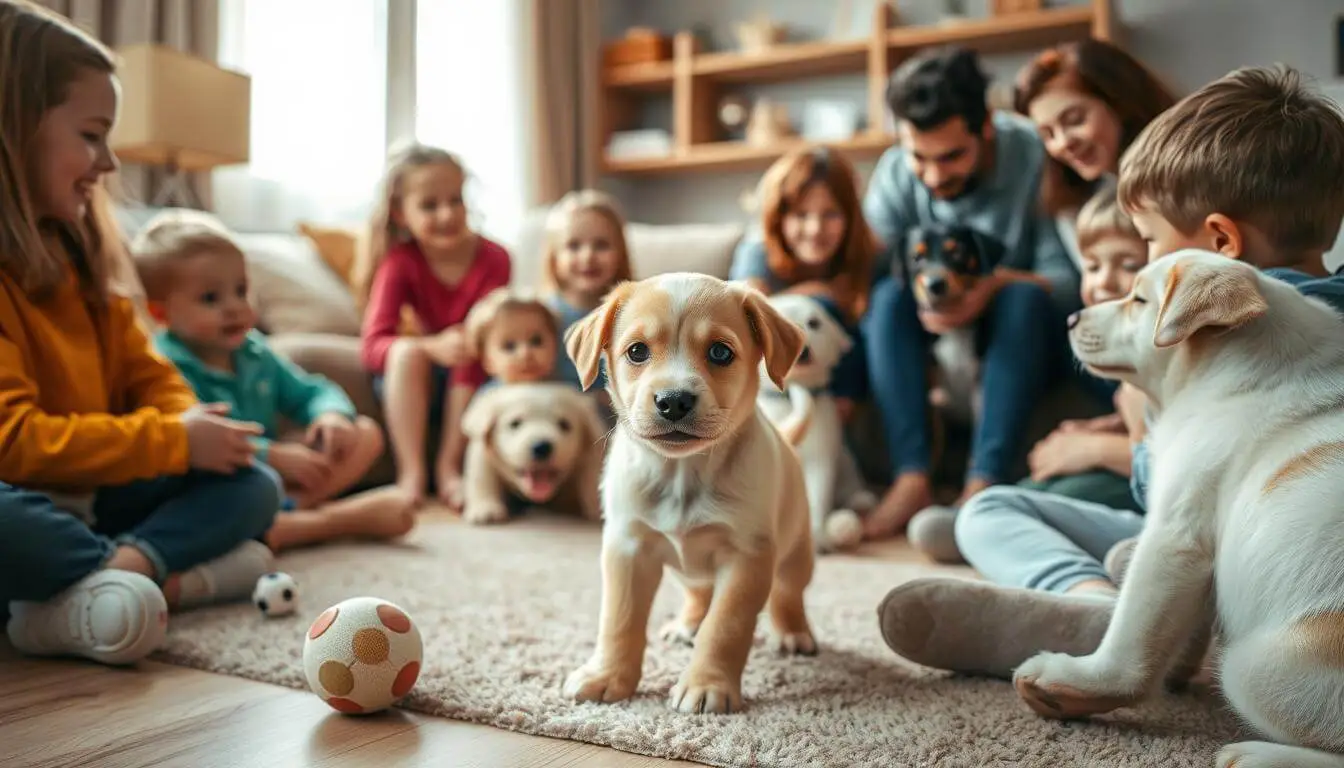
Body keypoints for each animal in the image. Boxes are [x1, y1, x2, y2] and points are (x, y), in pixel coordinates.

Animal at [559, 271, 811, 715]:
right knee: (698, 594)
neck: (682, 474)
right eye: (637, 351)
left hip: (796, 553)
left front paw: (707, 684)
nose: (673, 401)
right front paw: (608, 676)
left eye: (720, 352)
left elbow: (725, 626)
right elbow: (619, 620)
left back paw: (793, 633)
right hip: (684, 569)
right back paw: (686, 625)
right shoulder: (628, 547)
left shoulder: (747, 557)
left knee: (787, 593)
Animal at [763, 294, 876, 554]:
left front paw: (816, 538)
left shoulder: (822, 450)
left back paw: (857, 505)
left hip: (845, 462)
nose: (803, 350)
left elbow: (818, 491)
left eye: (814, 323)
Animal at [1016, 248, 1344, 763]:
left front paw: (1076, 682)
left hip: (1257, 669)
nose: (1069, 317)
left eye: (1138, 299)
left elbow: (1130, 639)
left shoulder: (1174, 536)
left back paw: (1259, 756)